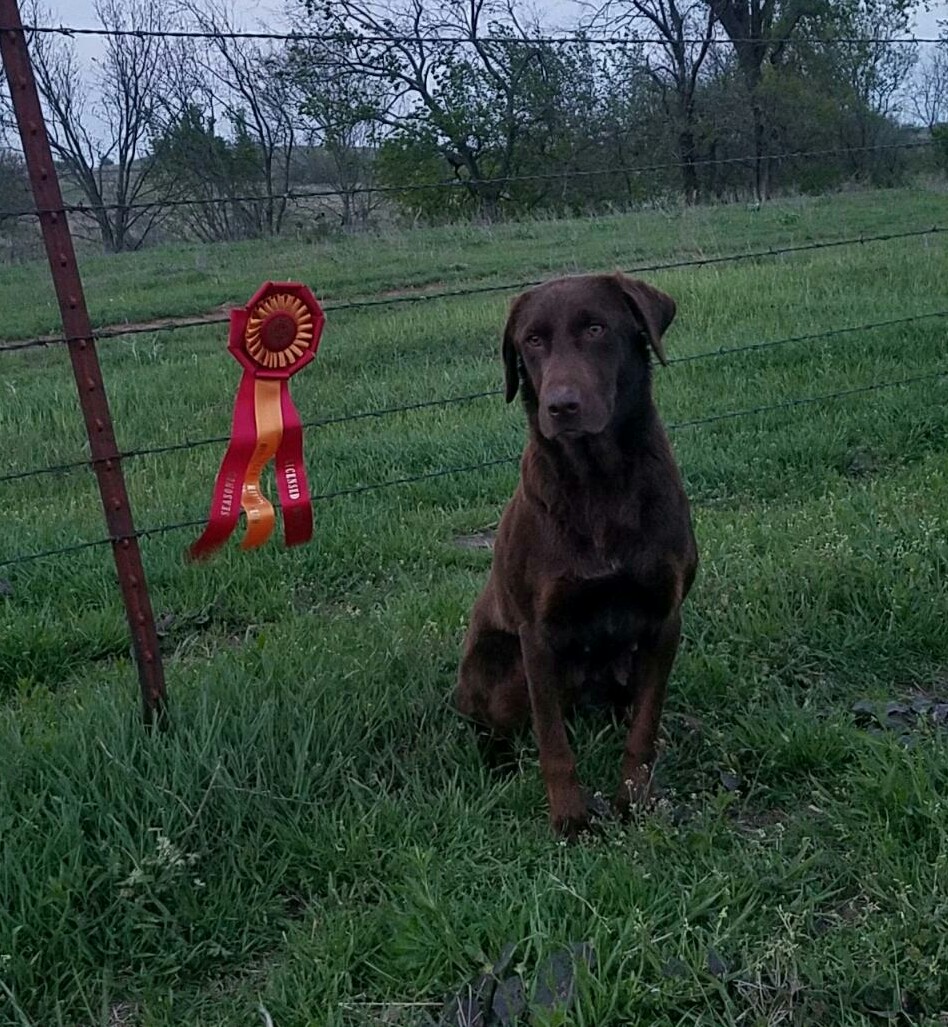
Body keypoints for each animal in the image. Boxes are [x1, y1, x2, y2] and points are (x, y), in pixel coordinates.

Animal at [451, 271, 698, 833]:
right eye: (532, 341)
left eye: (596, 328)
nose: (560, 406)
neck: (600, 484)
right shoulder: (538, 636)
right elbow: (554, 743)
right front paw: (570, 818)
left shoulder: (663, 620)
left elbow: (644, 727)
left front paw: (635, 799)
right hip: (500, 671)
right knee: (493, 727)